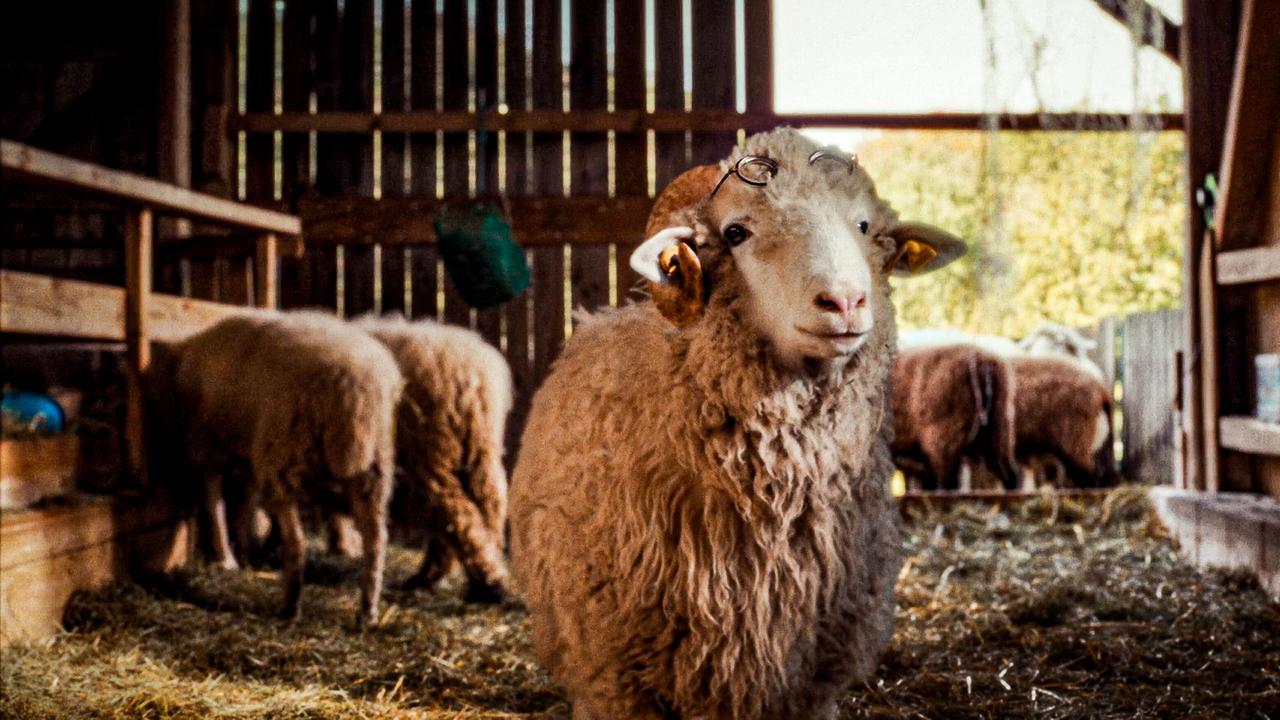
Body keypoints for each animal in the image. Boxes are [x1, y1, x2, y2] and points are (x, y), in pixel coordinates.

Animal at [163, 310, 402, 626]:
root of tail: (354, 388)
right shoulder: (246, 453)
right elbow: (244, 505)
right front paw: (243, 553)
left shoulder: (208, 445)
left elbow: (216, 503)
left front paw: (228, 557)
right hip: (373, 471)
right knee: (376, 541)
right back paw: (368, 612)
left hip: (283, 457)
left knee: (297, 543)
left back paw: (289, 607)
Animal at [351, 314, 513, 603]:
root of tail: (472, 374)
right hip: (479, 452)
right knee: (488, 506)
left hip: (427, 455)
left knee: (457, 514)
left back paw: (484, 585)